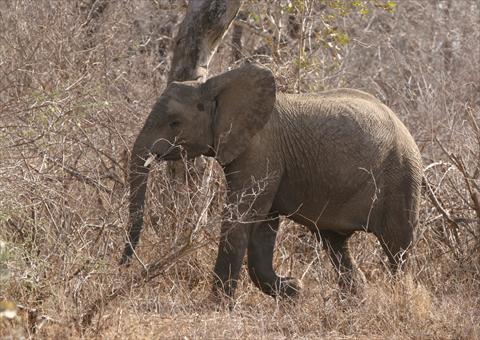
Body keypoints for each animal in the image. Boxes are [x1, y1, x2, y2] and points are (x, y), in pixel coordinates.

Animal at [121, 63, 424, 300]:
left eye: (174, 122)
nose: (123, 265)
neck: (215, 84)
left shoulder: (261, 151)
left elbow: (241, 217)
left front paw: (216, 307)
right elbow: (263, 229)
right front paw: (294, 290)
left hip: (402, 176)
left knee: (398, 248)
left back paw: (404, 300)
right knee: (335, 242)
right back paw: (355, 300)